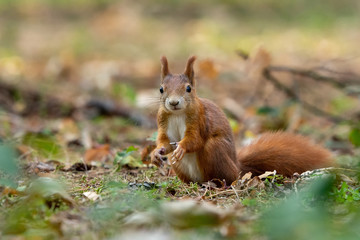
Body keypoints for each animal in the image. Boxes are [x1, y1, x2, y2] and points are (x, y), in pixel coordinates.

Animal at [150, 56, 334, 184]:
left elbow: (195, 140)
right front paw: (156, 152)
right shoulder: (163, 122)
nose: (174, 103)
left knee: (226, 177)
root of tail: (238, 168)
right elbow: (165, 142)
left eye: (188, 88)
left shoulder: (199, 120)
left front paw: (181, 147)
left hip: (215, 151)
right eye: (161, 89)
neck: (177, 114)